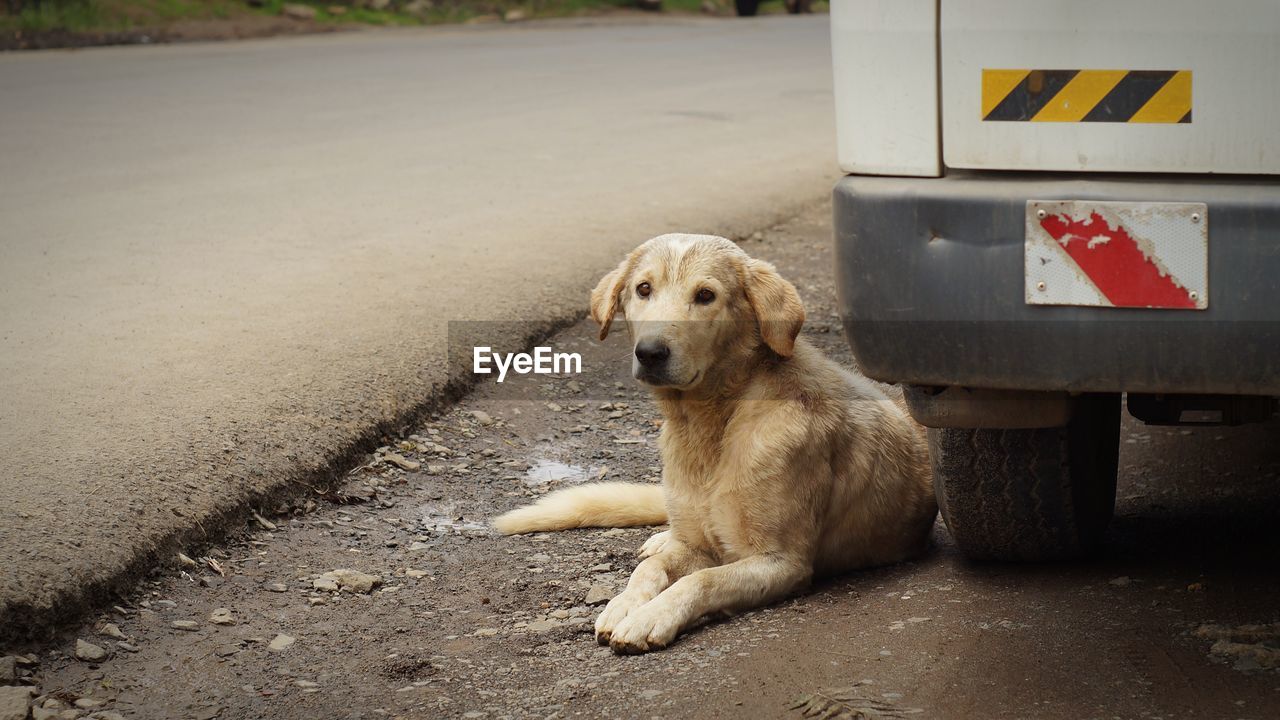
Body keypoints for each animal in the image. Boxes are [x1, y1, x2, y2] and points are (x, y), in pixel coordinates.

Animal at [488, 234, 931, 650]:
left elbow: (702, 581)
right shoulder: (697, 545)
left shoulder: (782, 563)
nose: (650, 353)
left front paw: (651, 617)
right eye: (643, 289)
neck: (712, 425)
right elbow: (650, 570)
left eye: (705, 295)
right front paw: (624, 603)